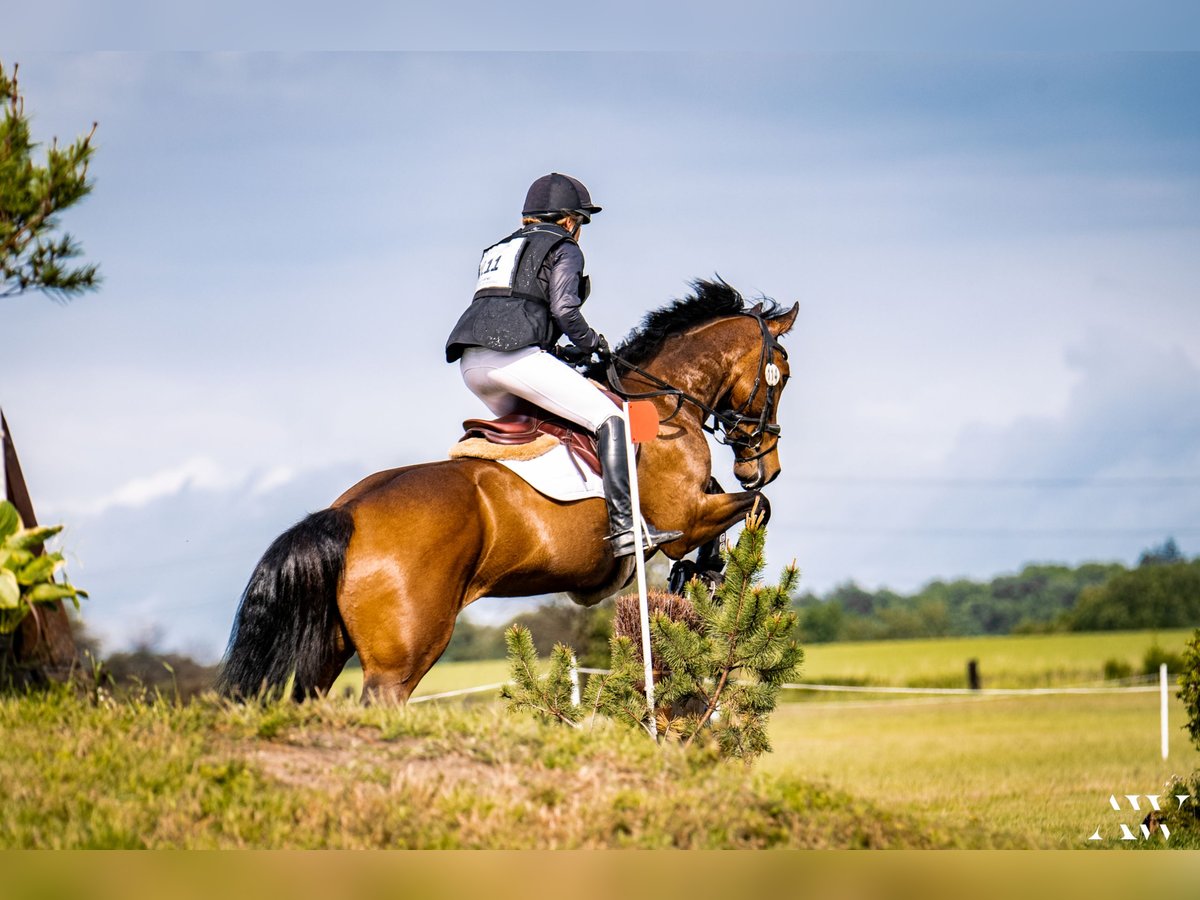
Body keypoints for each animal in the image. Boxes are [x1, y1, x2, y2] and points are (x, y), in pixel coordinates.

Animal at [216, 280, 796, 705]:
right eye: (782, 376)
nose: (764, 466)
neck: (663, 400)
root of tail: (347, 513)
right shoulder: (685, 518)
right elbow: (754, 509)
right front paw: (710, 572)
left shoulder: (700, 506)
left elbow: (732, 506)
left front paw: (701, 575)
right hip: (400, 659)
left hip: (326, 651)